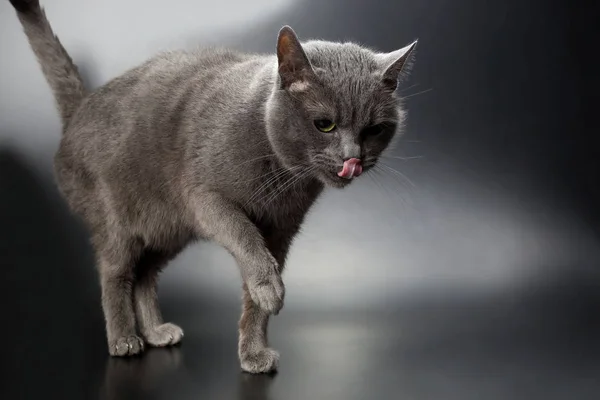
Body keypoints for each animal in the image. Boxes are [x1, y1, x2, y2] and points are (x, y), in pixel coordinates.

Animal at [9, 0, 418, 376]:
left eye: (375, 129)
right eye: (325, 125)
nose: (354, 158)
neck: (281, 177)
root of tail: (80, 109)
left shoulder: (282, 229)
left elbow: (253, 299)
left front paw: (253, 352)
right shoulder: (206, 199)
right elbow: (244, 236)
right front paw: (270, 289)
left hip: (166, 231)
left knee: (144, 276)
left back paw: (156, 332)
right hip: (118, 222)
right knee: (115, 274)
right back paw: (125, 339)